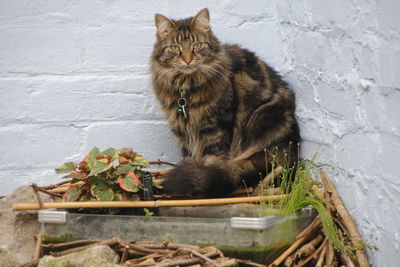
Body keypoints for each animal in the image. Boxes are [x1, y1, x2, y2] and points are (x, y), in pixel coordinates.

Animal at [150, 8, 300, 199]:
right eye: (175, 48)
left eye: (197, 45)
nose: (188, 60)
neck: (186, 87)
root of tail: (293, 151)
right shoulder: (182, 132)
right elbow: (189, 158)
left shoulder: (216, 128)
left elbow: (211, 162)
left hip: (264, 122)